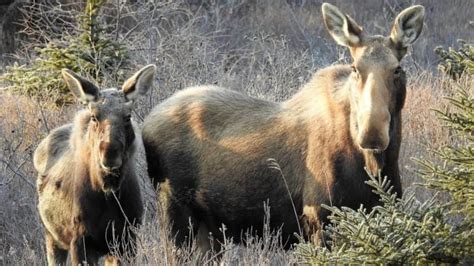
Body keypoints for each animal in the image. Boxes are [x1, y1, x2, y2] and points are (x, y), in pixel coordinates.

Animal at [33, 64, 156, 264]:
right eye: (94, 116)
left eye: (127, 116)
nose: (110, 154)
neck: (108, 192)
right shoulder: (80, 240)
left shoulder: (126, 238)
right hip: (52, 237)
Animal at [143, 2, 424, 249]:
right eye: (355, 68)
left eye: (397, 69)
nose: (372, 133)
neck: (374, 168)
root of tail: (146, 122)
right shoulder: (319, 218)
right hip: (175, 211)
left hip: (209, 230)